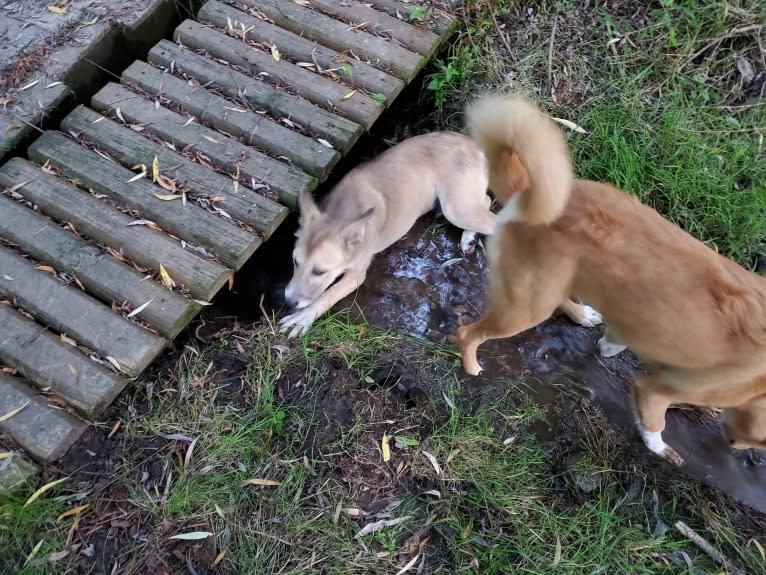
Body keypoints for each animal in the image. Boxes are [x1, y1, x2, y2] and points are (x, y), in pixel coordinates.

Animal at [282, 132, 608, 338]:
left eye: (320, 271)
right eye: (294, 262)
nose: (287, 301)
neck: (343, 211)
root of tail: (474, 143)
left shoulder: (356, 273)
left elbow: (327, 295)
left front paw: (302, 317)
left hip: (457, 206)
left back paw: (580, 313)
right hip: (461, 204)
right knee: (488, 203)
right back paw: (468, 239)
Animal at [456, 93, 766, 464]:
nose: (743, 452)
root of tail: (528, 194)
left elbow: (618, 338)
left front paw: (608, 346)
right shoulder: (657, 389)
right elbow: (654, 421)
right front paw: (660, 449)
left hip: (544, 288)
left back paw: (582, 314)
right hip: (524, 308)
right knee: (467, 333)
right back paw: (472, 366)